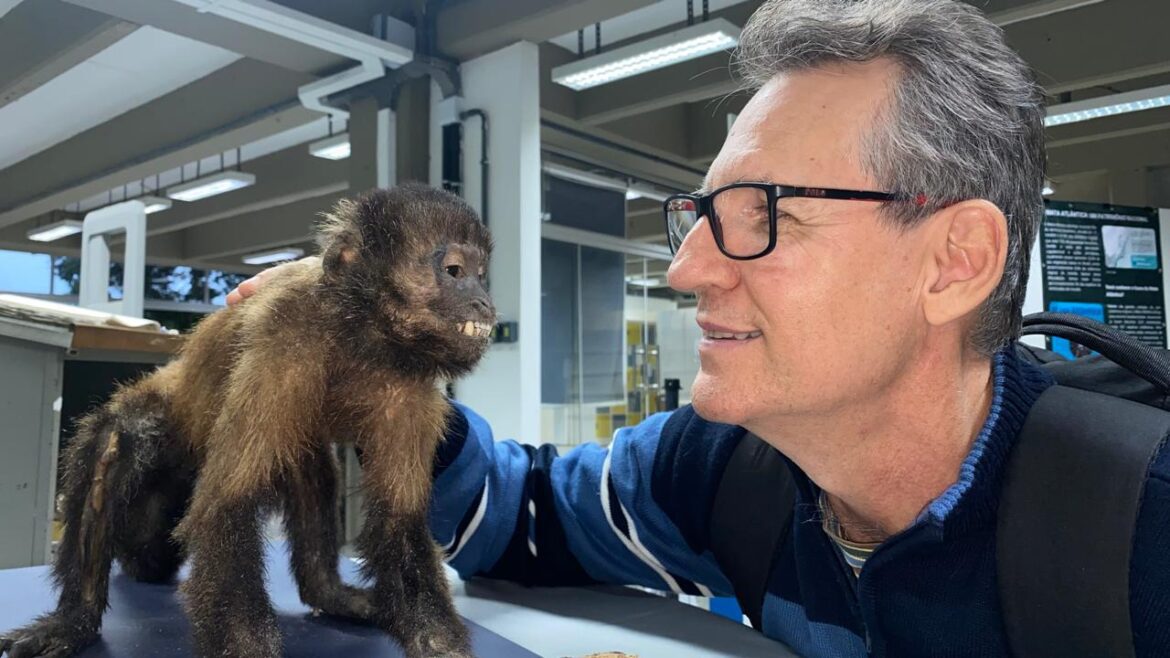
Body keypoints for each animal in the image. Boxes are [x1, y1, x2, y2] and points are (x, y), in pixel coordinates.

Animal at [0, 182, 493, 655]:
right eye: (455, 271)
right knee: (119, 441)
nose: (484, 302)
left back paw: (327, 593)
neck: (358, 336)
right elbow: (226, 505)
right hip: (175, 422)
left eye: (482, 274)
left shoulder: (410, 390)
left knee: (308, 472)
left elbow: (397, 521)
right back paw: (74, 620)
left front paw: (439, 643)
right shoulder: (283, 340)